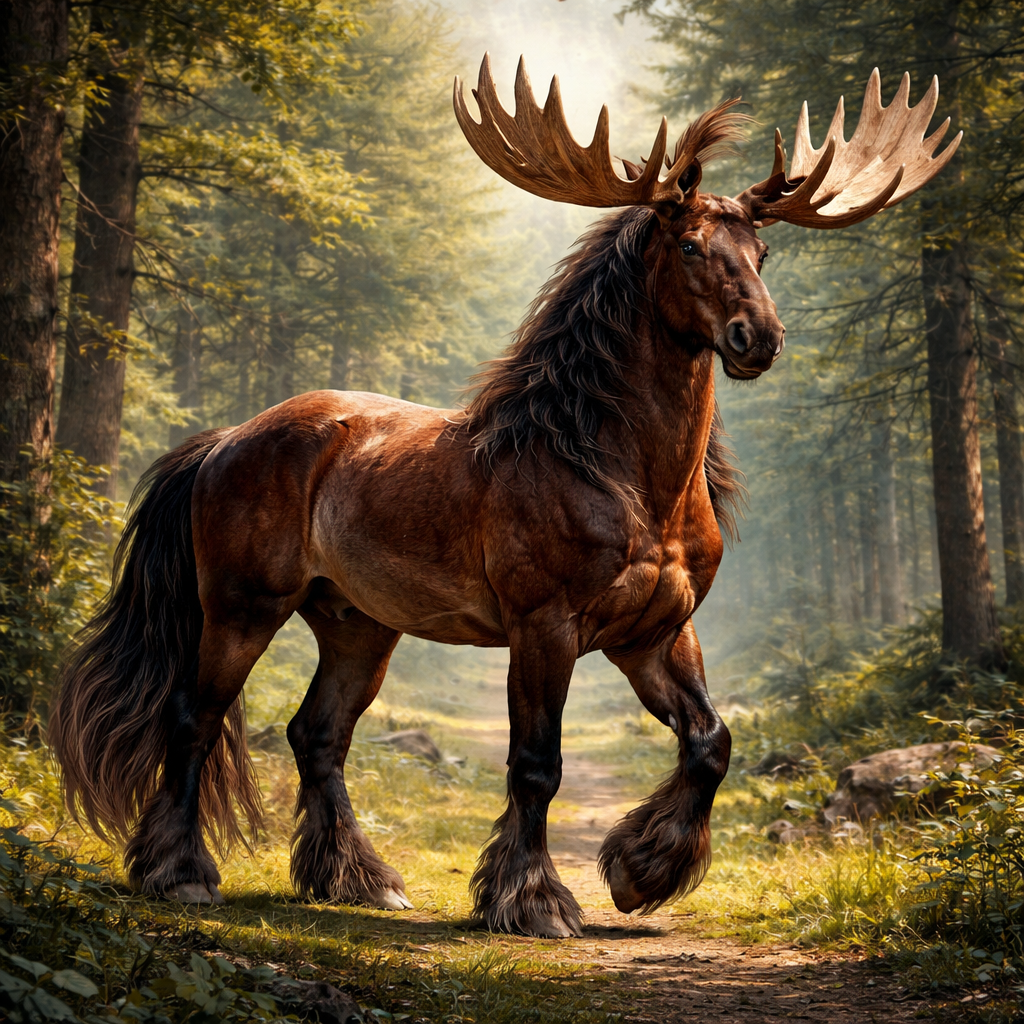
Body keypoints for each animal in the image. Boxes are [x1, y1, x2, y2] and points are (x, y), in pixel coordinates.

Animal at [50, 57, 959, 938]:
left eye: (762, 256)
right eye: (693, 246)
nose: (757, 339)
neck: (628, 481)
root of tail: (224, 442)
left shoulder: (656, 633)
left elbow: (711, 742)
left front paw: (641, 871)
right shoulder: (543, 624)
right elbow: (536, 764)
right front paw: (533, 901)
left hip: (356, 622)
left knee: (317, 734)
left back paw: (359, 881)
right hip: (241, 606)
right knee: (193, 718)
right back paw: (182, 874)